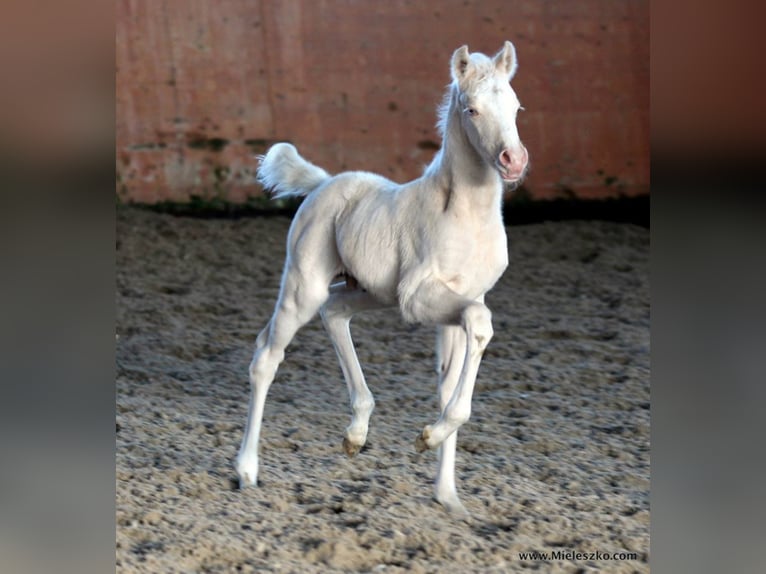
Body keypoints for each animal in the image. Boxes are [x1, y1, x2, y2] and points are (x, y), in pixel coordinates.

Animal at [235, 42, 529, 516]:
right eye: (472, 109)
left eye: (517, 107)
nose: (514, 161)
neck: (466, 215)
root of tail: (324, 184)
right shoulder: (418, 299)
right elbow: (480, 324)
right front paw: (429, 437)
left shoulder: (458, 305)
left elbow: (449, 382)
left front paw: (447, 495)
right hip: (304, 285)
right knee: (267, 357)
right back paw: (246, 470)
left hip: (370, 291)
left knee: (333, 313)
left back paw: (356, 433)